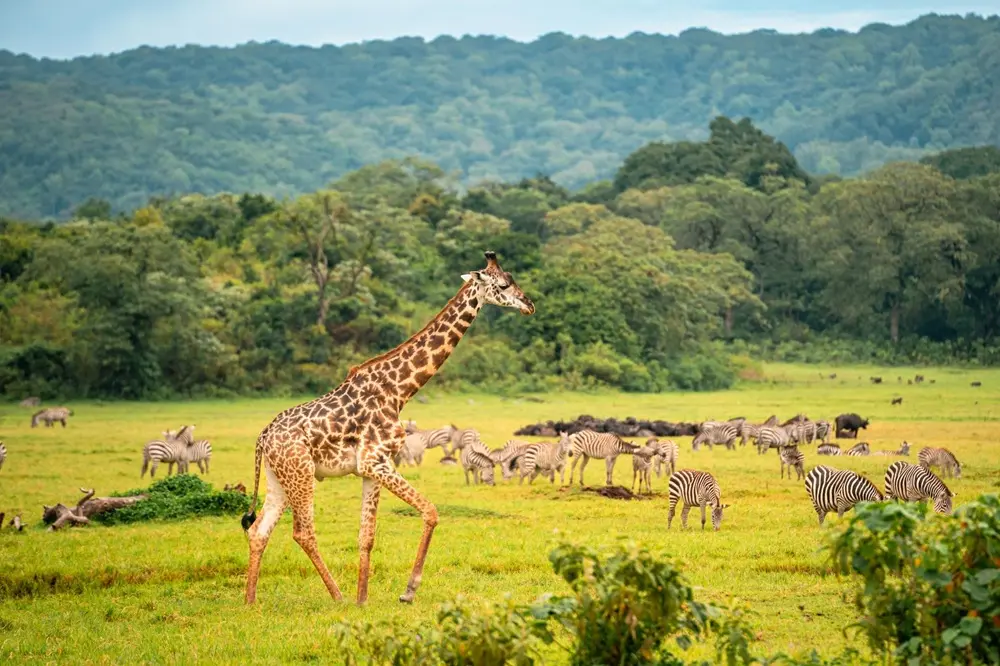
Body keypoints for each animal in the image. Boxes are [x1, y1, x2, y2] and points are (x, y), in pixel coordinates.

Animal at [242, 250, 534, 605]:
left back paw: (250, 602)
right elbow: (431, 511)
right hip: (301, 473)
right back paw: (337, 596)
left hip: (279, 477)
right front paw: (407, 591)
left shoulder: (371, 468)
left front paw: (363, 599)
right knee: (303, 532)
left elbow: (366, 536)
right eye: (503, 284)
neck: (400, 390)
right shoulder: (376, 461)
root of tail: (262, 438)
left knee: (259, 530)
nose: (529, 304)